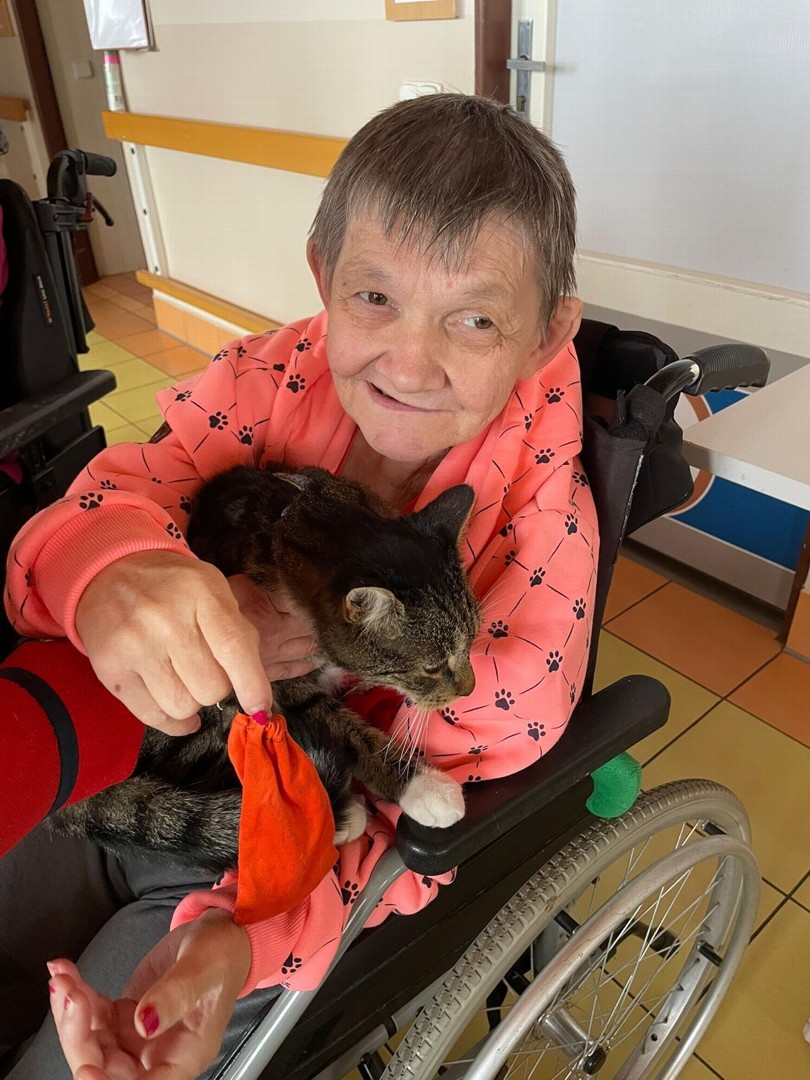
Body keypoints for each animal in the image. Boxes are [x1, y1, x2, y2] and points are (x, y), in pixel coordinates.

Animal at [51, 463, 482, 874]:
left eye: (473, 639)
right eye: (432, 667)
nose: (470, 688)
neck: (299, 521)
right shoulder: (282, 685)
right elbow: (346, 734)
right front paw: (424, 786)